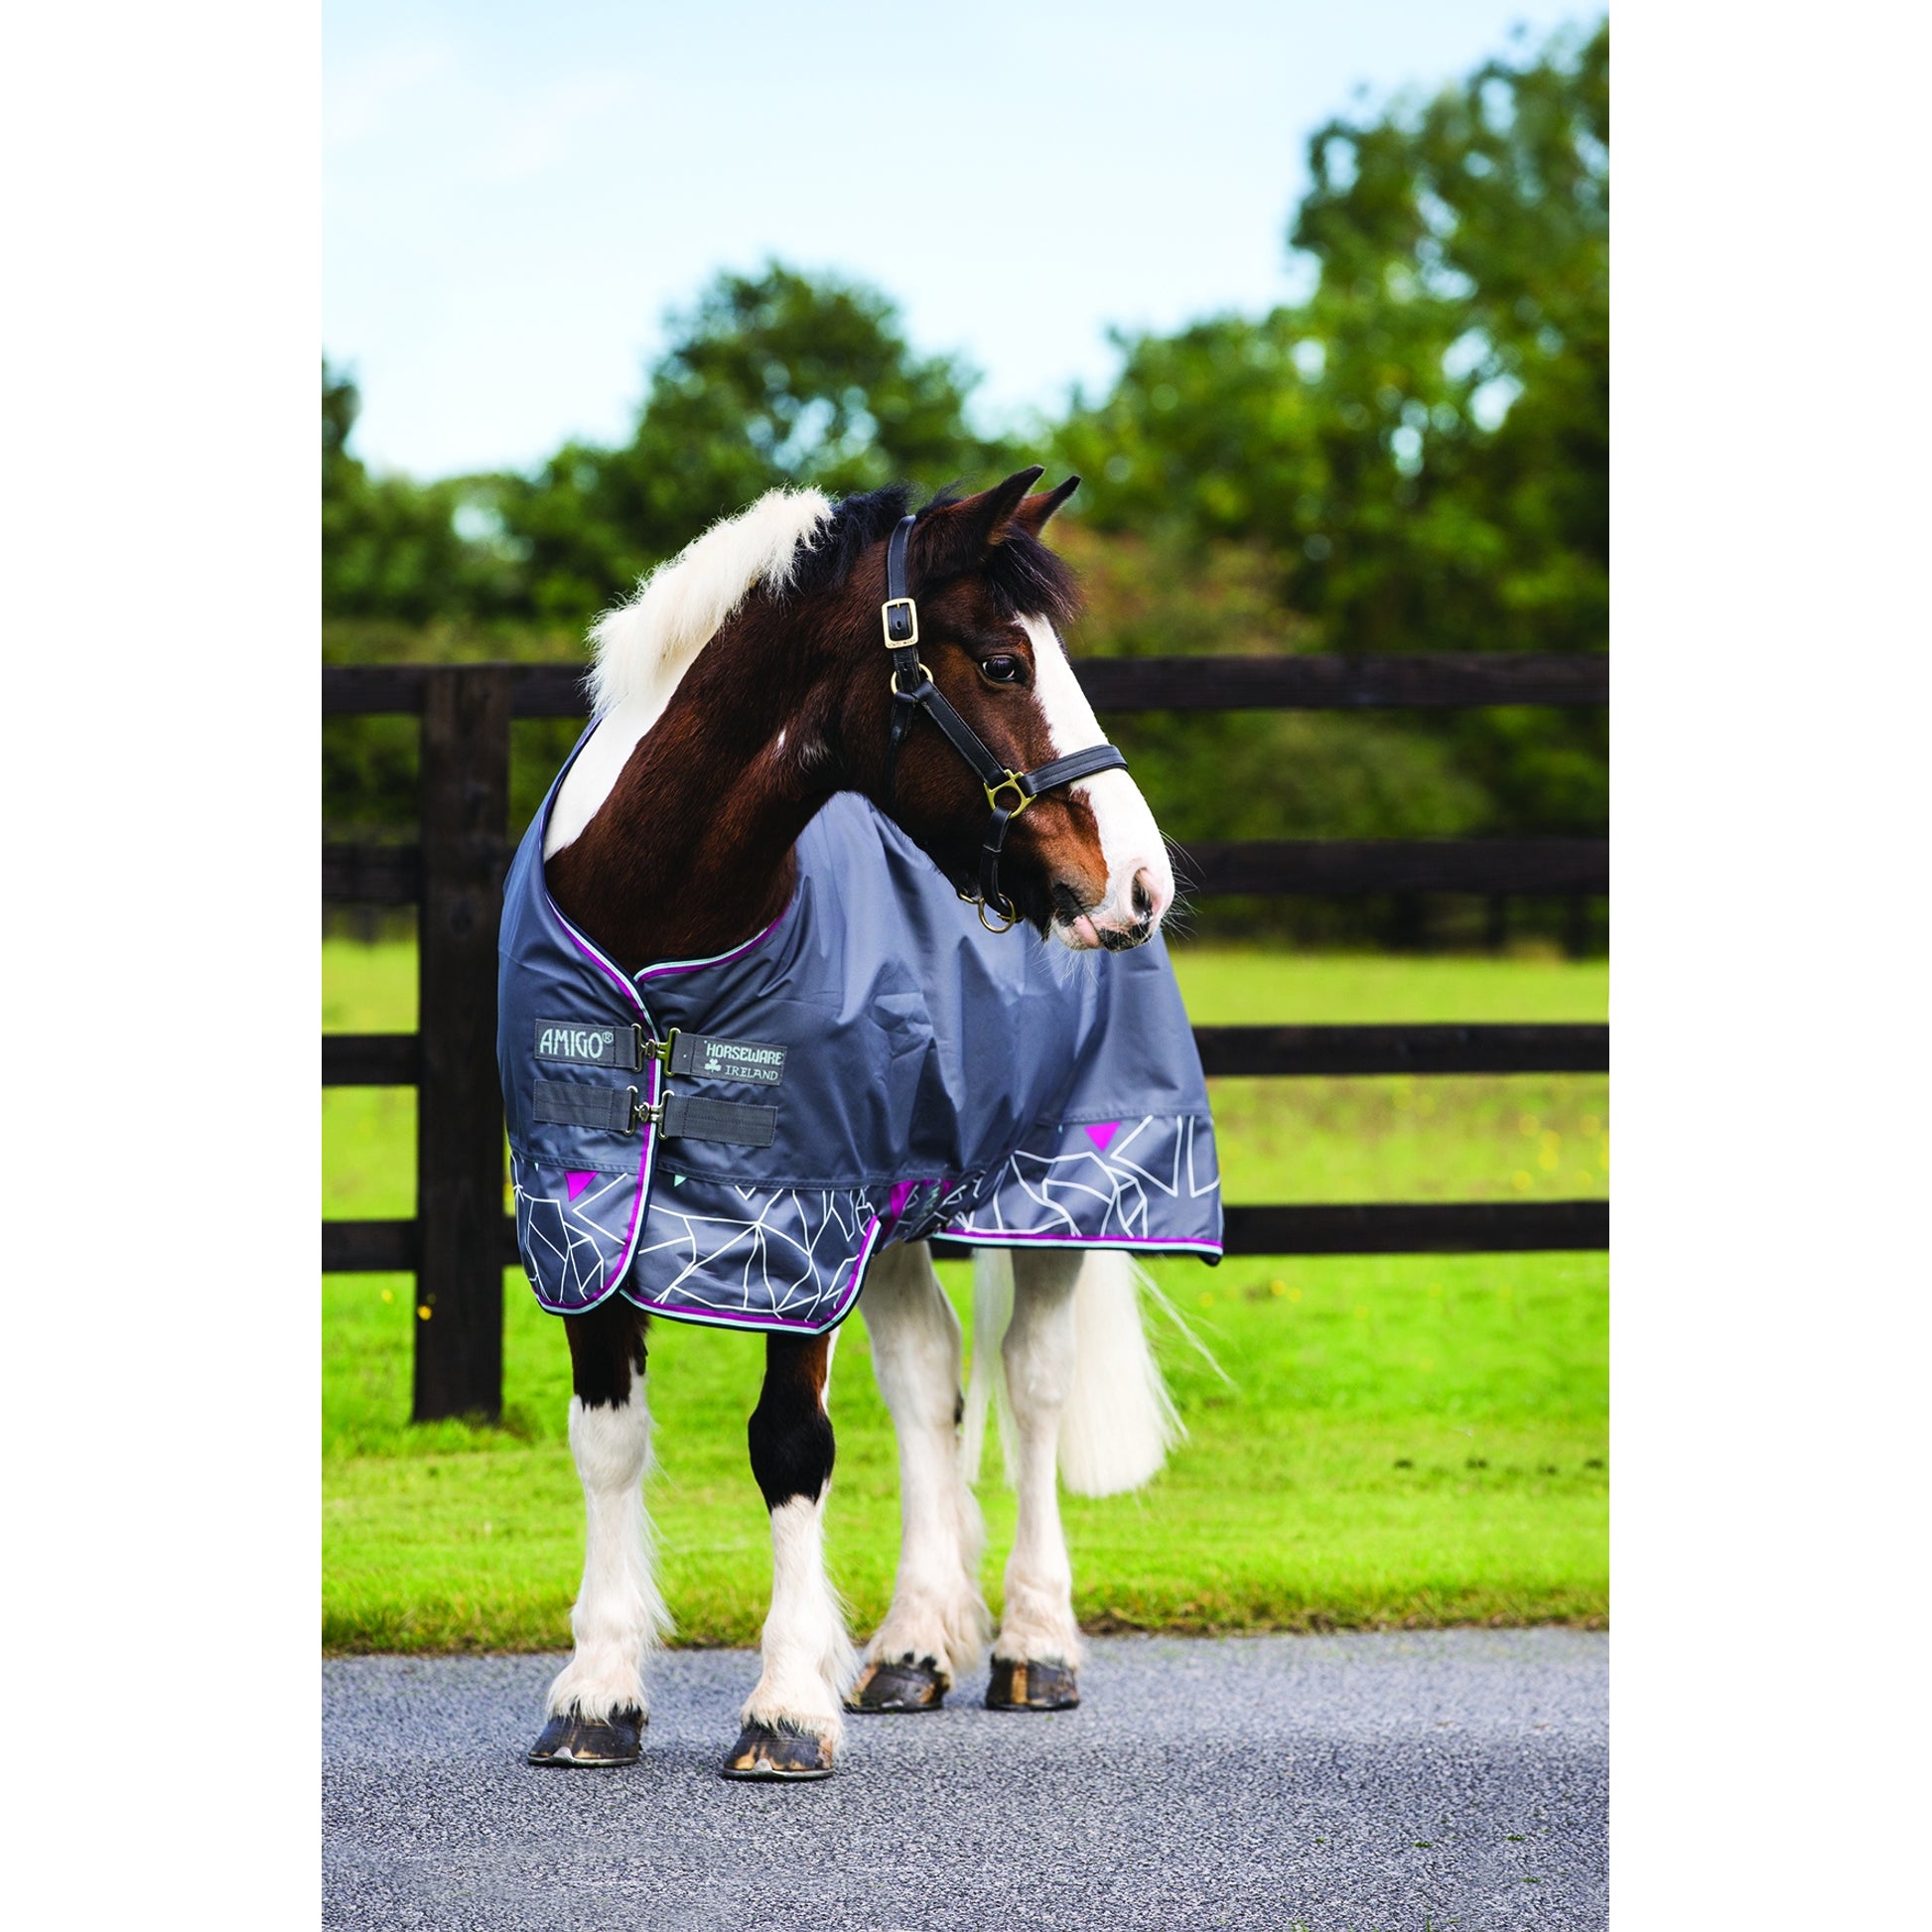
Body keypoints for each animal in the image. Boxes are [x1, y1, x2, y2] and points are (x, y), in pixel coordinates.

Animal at [501, 466, 1221, 1781]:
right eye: (1000, 662)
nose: (1139, 883)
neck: (655, 934)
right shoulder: (584, 1220)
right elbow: (608, 1442)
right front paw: (596, 1692)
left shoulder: (798, 1222)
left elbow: (791, 1445)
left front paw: (785, 1708)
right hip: (890, 1212)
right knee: (927, 1376)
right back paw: (913, 1646)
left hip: (1056, 1194)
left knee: (1028, 1386)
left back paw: (1034, 1645)